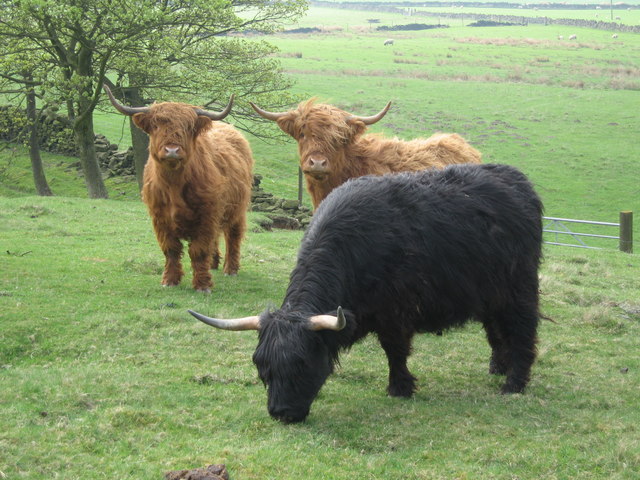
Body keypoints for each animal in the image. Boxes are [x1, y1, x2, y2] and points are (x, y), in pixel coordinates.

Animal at [104, 84, 254, 290]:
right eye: (156, 125)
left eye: (188, 127)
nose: (172, 150)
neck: (173, 184)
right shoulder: (160, 218)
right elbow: (171, 249)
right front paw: (170, 280)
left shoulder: (207, 215)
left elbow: (199, 250)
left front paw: (202, 285)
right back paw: (213, 263)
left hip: (237, 209)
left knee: (233, 236)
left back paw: (230, 269)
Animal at [188, 163, 544, 422]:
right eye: (262, 366)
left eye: (302, 363)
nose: (281, 414)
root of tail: (515, 179)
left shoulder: (395, 313)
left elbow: (395, 351)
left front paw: (400, 387)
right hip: (490, 293)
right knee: (496, 330)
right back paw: (498, 366)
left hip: (520, 288)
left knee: (523, 332)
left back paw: (513, 383)